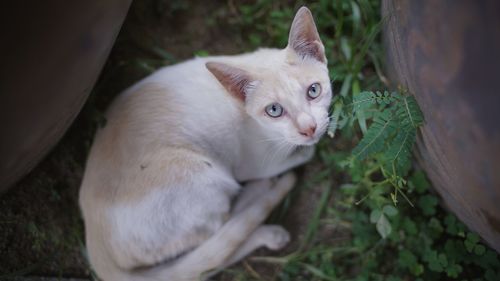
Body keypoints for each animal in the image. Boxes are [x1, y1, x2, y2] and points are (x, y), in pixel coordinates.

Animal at [80, 7, 332, 280]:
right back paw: (265, 210)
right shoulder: (258, 162)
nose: (309, 128)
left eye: (314, 90)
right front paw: (308, 148)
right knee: (218, 240)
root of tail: (94, 236)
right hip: (201, 174)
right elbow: (304, 153)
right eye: (274, 110)